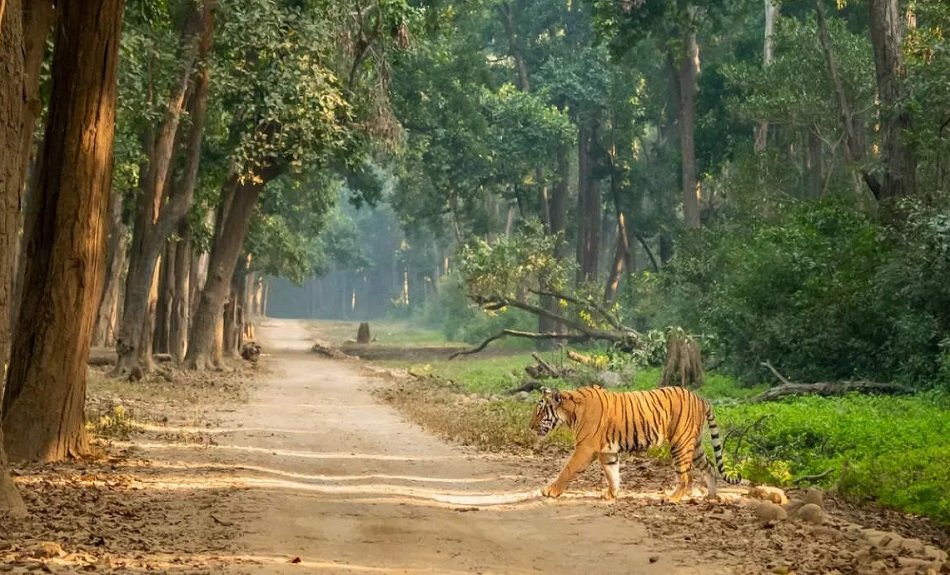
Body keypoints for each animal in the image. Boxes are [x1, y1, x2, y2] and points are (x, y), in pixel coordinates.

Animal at [528, 388, 744, 504]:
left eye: (540, 411)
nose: (530, 427)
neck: (571, 412)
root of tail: (701, 398)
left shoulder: (585, 448)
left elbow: (568, 469)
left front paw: (550, 491)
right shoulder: (607, 452)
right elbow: (612, 474)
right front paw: (611, 494)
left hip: (680, 443)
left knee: (686, 476)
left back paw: (672, 498)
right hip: (695, 444)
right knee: (709, 467)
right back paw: (711, 496)